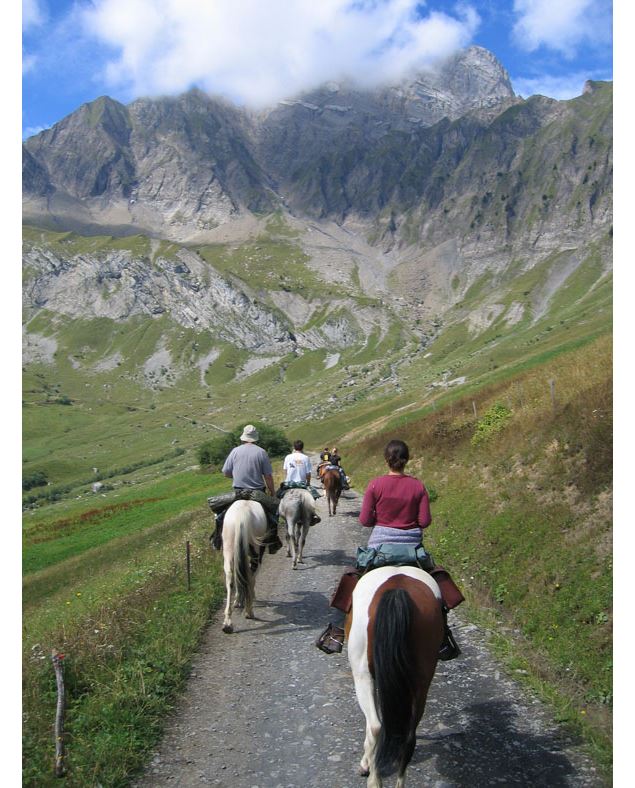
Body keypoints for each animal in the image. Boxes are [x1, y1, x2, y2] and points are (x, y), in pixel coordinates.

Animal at [222, 498, 268, 636]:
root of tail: (242, 515)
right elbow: (250, 579)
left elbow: (240, 577)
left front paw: (238, 601)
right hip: (256, 553)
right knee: (251, 577)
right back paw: (249, 611)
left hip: (229, 550)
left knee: (230, 578)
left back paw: (228, 623)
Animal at [346, 568, 444, 780]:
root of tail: (397, 589)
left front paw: (365, 764)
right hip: (421, 681)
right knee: (408, 739)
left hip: (362, 674)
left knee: (375, 725)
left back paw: (372, 774)